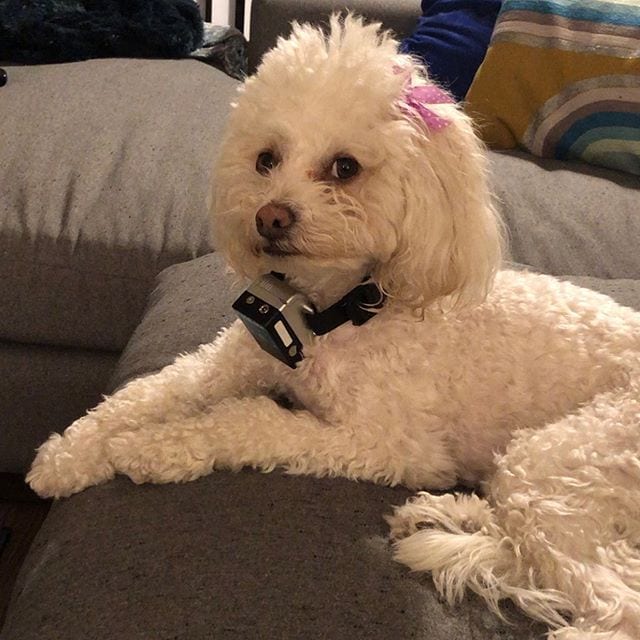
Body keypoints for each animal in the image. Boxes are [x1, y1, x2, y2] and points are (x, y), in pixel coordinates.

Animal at [28, 15, 640, 640]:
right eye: (265, 159)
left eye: (345, 168)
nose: (269, 217)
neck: (329, 312)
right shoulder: (226, 364)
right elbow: (148, 392)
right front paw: (70, 454)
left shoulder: (387, 444)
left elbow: (249, 420)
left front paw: (148, 448)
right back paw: (447, 514)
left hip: (555, 464)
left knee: (612, 600)